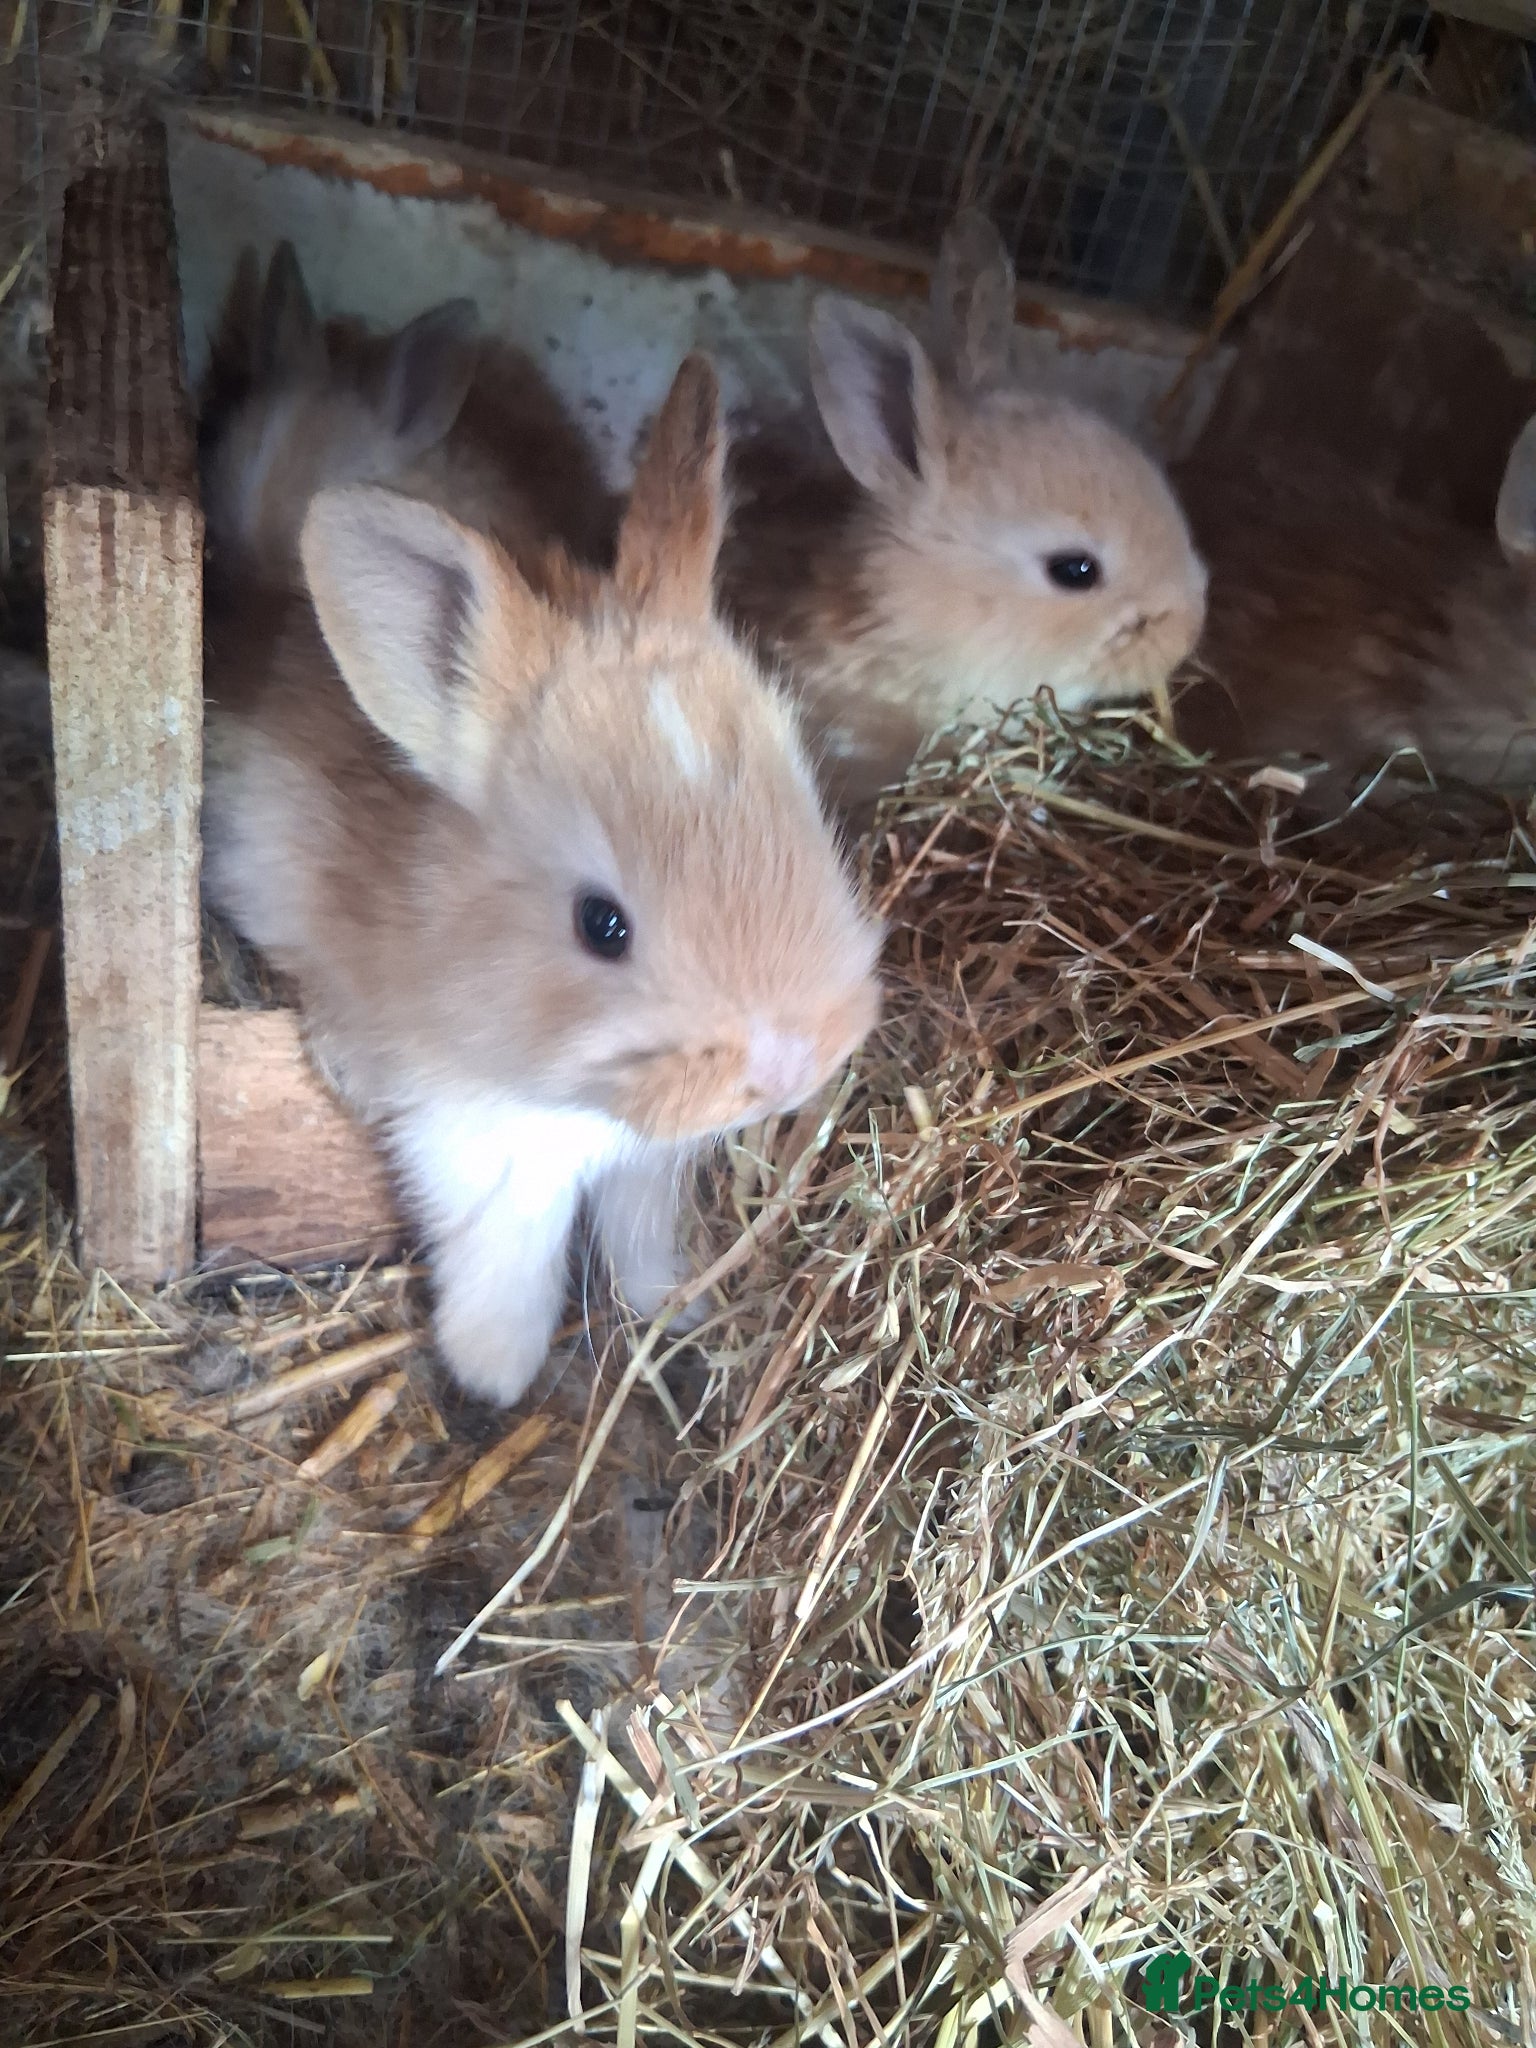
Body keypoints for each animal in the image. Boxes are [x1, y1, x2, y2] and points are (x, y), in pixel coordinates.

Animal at [202, 354, 883, 1406]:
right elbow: (513, 1257)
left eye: (804, 813)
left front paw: (673, 1308)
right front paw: (494, 1372)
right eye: (602, 925)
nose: (785, 1070)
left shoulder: (646, 1166)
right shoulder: (484, 1150)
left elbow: (640, 1237)